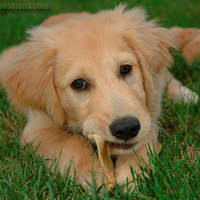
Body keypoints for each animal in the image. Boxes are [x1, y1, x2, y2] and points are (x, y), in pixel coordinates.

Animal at [0, 5, 198, 191]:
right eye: (78, 83)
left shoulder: (149, 112)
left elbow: (146, 135)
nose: (127, 128)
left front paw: (133, 170)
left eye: (125, 68)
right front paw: (92, 172)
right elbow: (70, 142)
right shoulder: (37, 129)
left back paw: (184, 94)